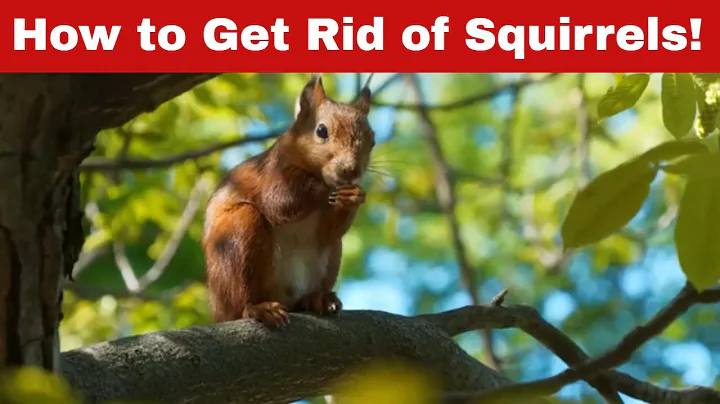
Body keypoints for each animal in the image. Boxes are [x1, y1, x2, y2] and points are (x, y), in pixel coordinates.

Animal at [201, 74, 375, 328]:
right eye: (321, 130)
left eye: (373, 140)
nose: (351, 171)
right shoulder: (272, 173)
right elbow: (279, 203)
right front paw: (327, 187)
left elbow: (329, 232)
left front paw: (353, 196)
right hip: (237, 237)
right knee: (240, 303)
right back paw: (258, 308)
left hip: (332, 256)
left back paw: (318, 299)